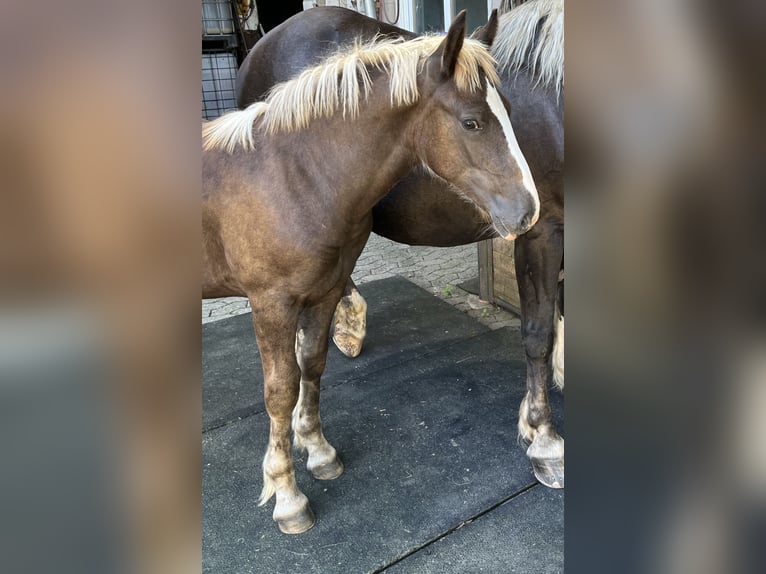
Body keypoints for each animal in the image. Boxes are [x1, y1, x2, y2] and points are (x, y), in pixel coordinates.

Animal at [204, 13, 540, 536]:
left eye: (507, 110)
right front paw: (287, 496)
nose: (529, 211)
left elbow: (312, 365)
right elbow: (279, 392)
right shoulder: (271, 304)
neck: (292, 175)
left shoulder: (323, 293)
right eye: (472, 121)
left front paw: (318, 453)